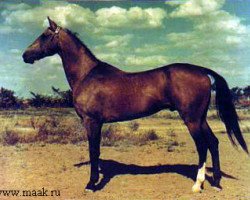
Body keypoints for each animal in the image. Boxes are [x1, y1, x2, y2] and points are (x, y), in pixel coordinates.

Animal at [22, 18, 248, 193]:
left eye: (44, 35)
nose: (25, 55)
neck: (87, 75)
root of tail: (201, 70)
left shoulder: (92, 121)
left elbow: (93, 151)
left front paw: (91, 184)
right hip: (200, 118)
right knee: (214, 143)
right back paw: (216, 182)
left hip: (191, 119)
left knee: (202, 146)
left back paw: (197, 185)